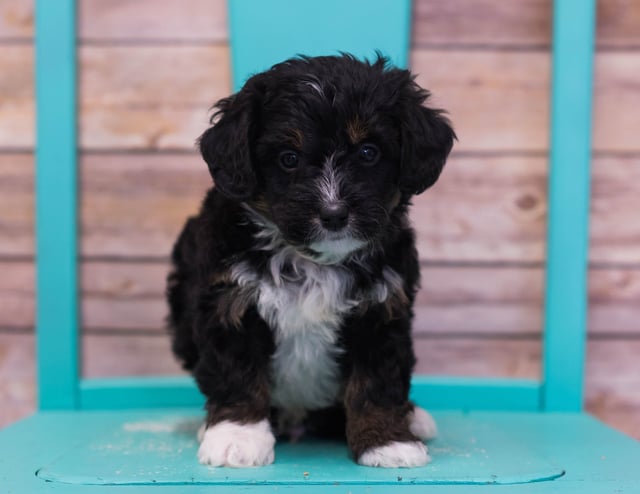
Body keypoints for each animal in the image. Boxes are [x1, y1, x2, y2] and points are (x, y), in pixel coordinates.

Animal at [166, 54, 456, 466]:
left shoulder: (382, 308)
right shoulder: (229, 301)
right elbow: (236, 371)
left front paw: (387, 442)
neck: (312, 259)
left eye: (368, 152)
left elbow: (377, 380)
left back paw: (413, 417)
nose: (333, 214)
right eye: (289, 159)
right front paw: (237, 435)